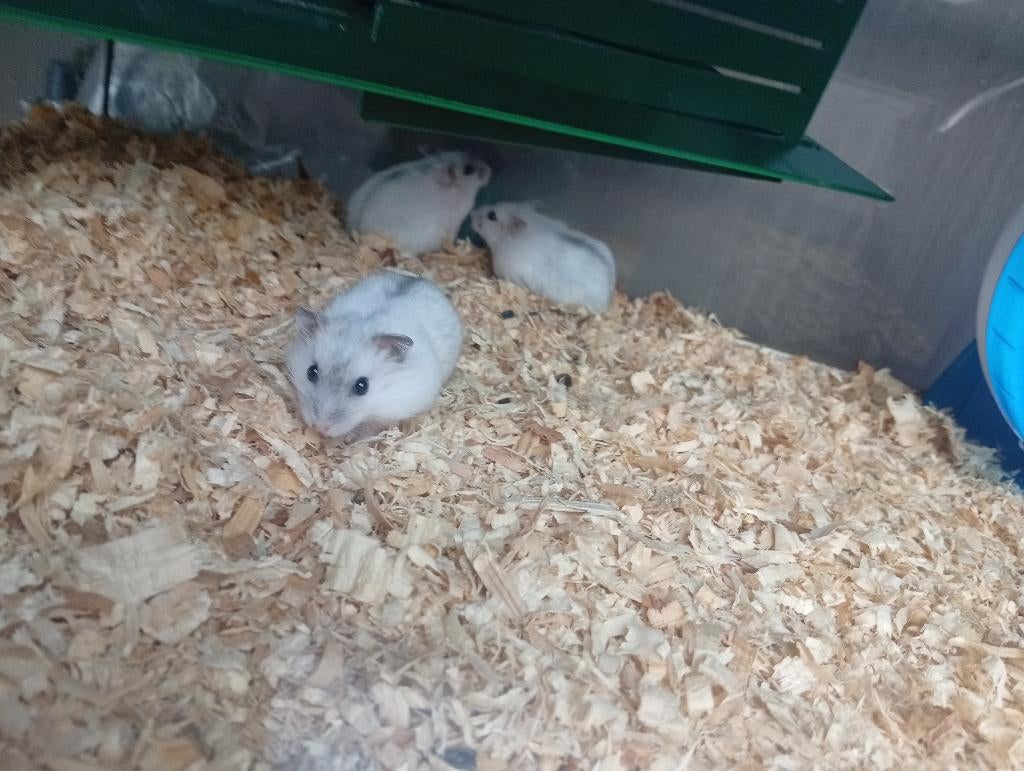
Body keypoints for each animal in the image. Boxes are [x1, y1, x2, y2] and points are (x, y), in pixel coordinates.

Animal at [286, 271, 463, 440]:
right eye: (311, 372)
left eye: (362, 386)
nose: (320, 428)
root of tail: (421, 279)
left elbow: (371, 428)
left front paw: (353, 441)